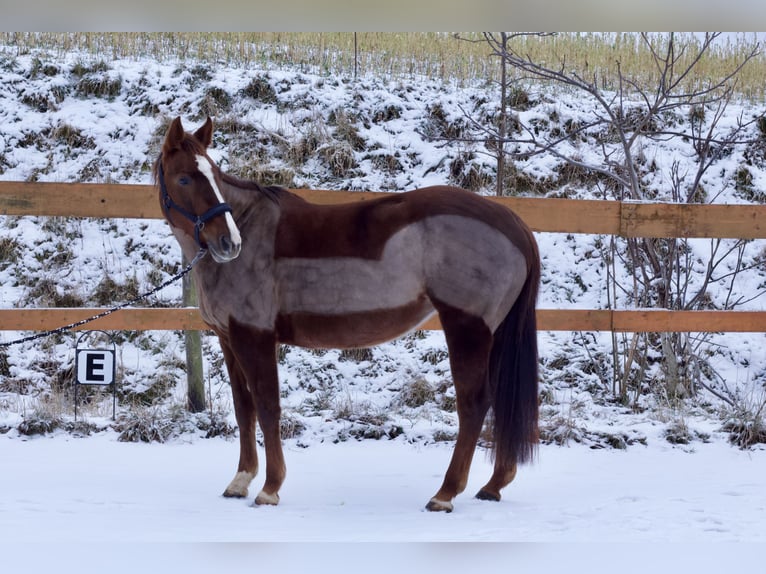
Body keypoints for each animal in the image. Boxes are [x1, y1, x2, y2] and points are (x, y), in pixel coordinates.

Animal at [155, 116, 540, 512]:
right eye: (184, 178)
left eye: (213, 176)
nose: (229, 243)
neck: (252, 230)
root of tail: (513, 223)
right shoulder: (229, 338)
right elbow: (243, 408)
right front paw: (240, 480)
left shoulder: (255, 337)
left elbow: (267, 407)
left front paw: (270, 487)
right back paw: (493, 485)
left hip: (467, 328)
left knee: (474, 404)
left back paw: (445, 494)